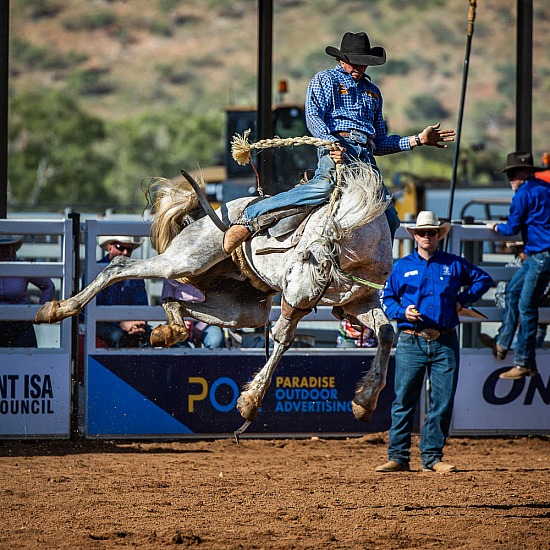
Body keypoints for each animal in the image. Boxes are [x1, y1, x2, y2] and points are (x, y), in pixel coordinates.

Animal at [35, 162, 396, 430]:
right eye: (302, 259)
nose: (295, 295)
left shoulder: (358, 302)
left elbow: (386, 334)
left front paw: (365, 402)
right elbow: (283, 340)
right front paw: (250, 402)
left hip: (241, 310)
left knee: (174, 302)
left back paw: (168, 332)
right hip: (184, 261)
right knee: (119, 265)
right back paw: (57, 309)